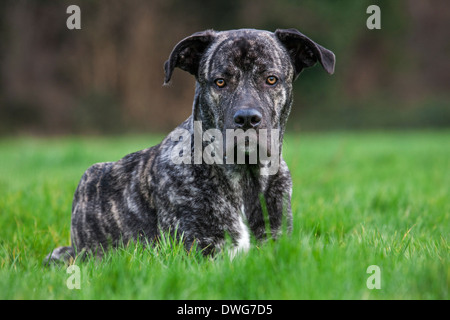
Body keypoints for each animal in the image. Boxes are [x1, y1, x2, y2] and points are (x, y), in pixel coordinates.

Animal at [45, 27, 334, 264]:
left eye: (271, 79)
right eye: (220, 81)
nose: (247, 119)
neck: (243, 177)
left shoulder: (274, 240)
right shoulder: (199, 251)